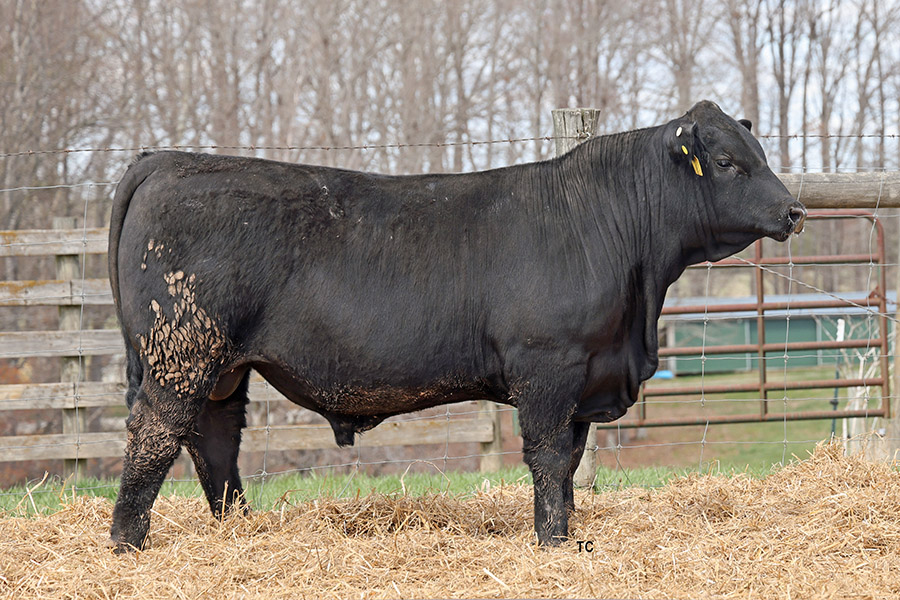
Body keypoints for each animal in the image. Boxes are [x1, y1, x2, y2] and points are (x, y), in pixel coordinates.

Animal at [107, 100, 806, 551]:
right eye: (725, 160)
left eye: (758, 152)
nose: (795, 210)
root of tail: (167, 160)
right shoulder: (548, 368)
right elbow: (549, 457)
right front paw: (552, 543)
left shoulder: (585, 377)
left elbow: (572, 462)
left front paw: (569, 537)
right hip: (182, 352)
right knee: (155, 436)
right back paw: (127, 542)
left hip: (222, 366)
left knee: (214, 440)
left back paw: (237, 528)